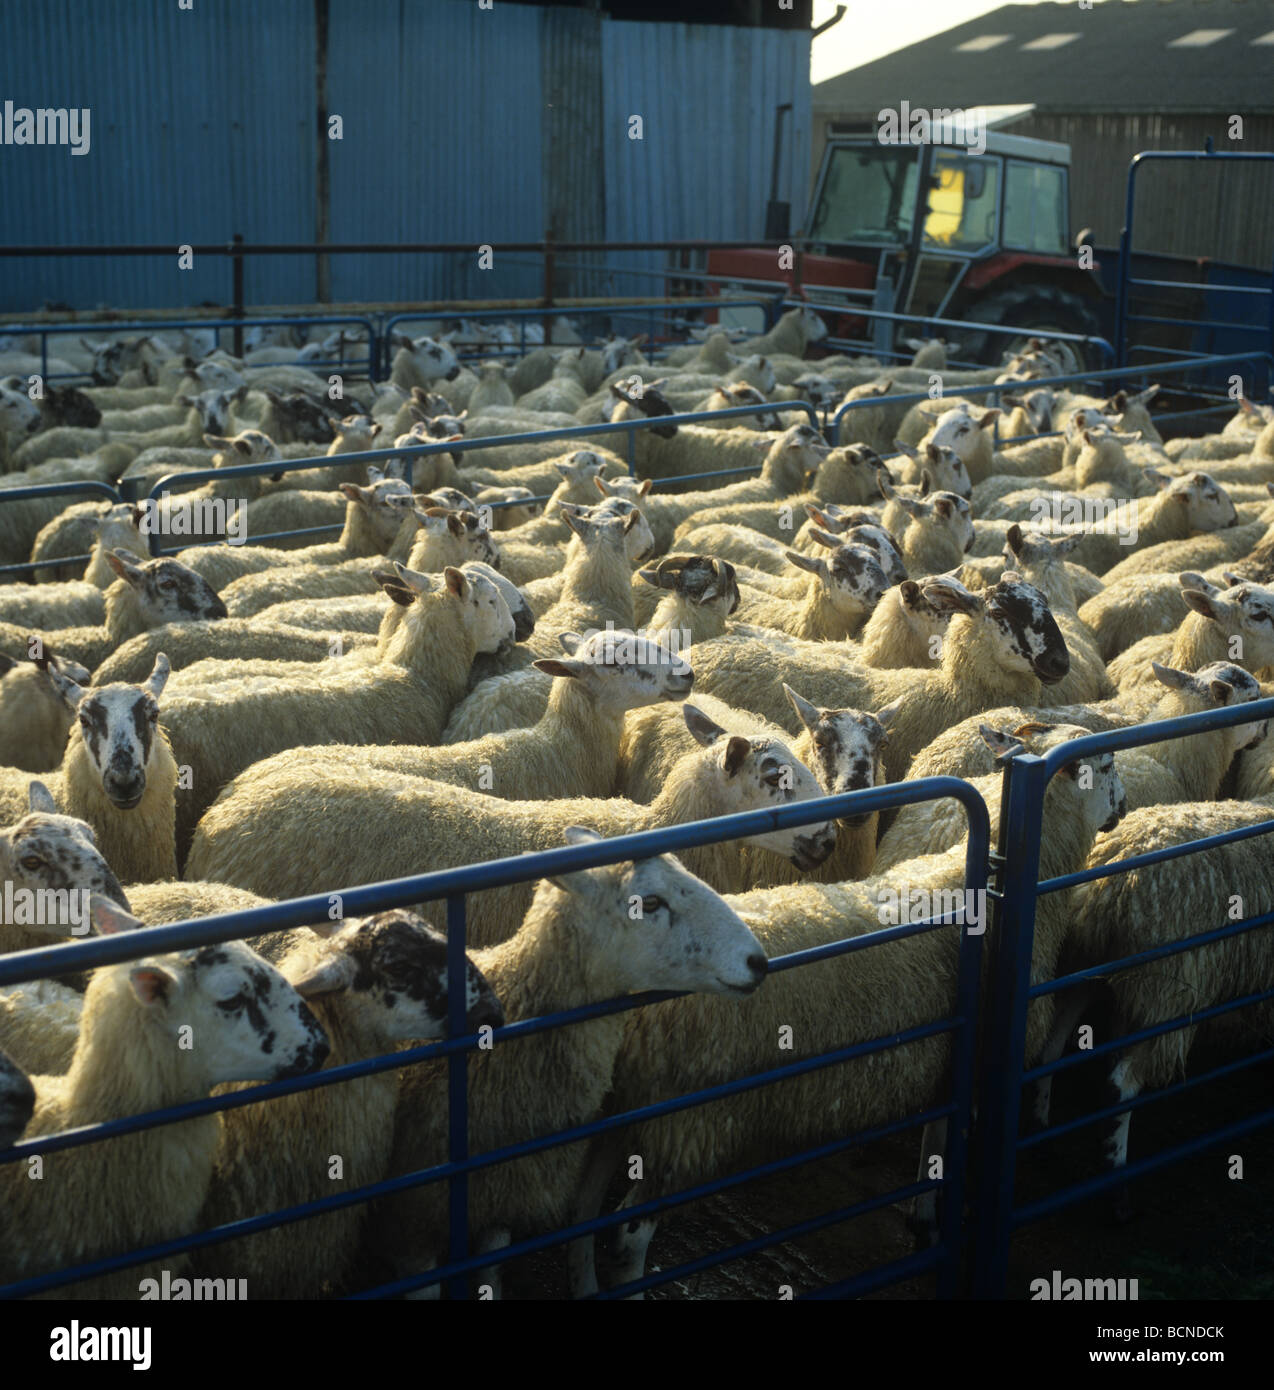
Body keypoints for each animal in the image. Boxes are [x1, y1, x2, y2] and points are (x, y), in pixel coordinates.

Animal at [566, 722, 1122, 1295]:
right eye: (1105, 766)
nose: (1123, 807)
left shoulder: (950, 1059)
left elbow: (936, 1144)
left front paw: (925, 1219)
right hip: (688, 1122)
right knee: (627, 1236)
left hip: (621, 1110)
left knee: (580, 1217)